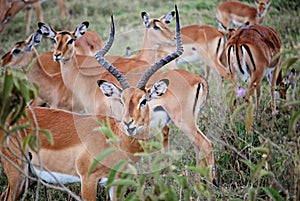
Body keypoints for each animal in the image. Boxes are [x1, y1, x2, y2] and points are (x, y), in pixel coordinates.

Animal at [0, 6, 182, 199]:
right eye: (122, 100)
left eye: (144, 100)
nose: (128, 123)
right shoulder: (88, 180)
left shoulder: (117, 183)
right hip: (17, 172)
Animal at [38, 9, 216, 177]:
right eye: (54, 40)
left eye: (70, 40)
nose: (57, 55)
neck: (87, 81)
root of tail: (199, 80)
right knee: (197, 148)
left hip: (184, 121)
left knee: (206, 145)